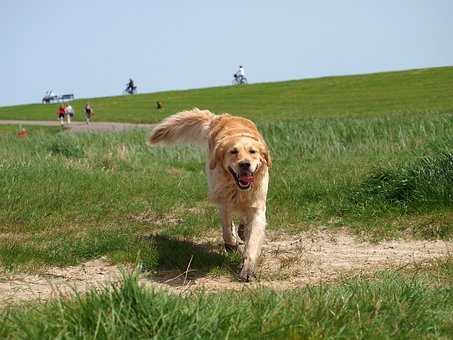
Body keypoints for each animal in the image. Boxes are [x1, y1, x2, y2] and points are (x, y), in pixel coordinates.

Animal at [148, 109, 270, 282]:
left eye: (253, 152)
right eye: (233, 152)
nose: (245, 164)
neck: (236, 188)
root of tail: (223, 116)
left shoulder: (257, 207)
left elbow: (252, 241)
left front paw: (248, 268)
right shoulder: (223, 200)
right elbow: (227, 228)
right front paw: (231, 244)